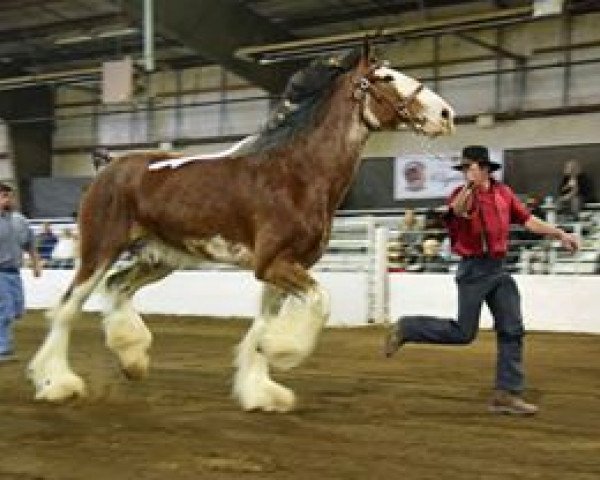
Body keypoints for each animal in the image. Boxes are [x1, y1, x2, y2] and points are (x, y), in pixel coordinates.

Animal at [25, 44, 452, 412]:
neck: (297, 175)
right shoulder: (273, 264)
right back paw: (56, 383)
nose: (446, 114)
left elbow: (263, 324)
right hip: (99, 250)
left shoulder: (285, 267)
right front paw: (283, 353)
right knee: (67, 308)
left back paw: (132, 359)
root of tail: (108, 166)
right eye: (385, 77)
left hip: (160, 258)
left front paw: (261, 391)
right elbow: (319, 302)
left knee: (117, 287)